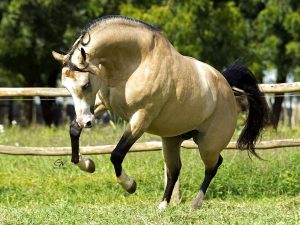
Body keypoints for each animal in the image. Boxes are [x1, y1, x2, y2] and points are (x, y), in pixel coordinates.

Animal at [52, 15, 270, 209]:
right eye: (66, 87)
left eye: (86, 84)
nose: (86, 122)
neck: (136, 62)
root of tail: (226, 85)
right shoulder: (102, 104)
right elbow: (73, 130)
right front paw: (87, 164)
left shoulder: (141, 117)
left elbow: (117, 154)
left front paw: (130, 185)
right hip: (171, 140)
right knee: (175, 170)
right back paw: (164, 204)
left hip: (208, 144)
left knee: (213, 166)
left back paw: (195, 203)